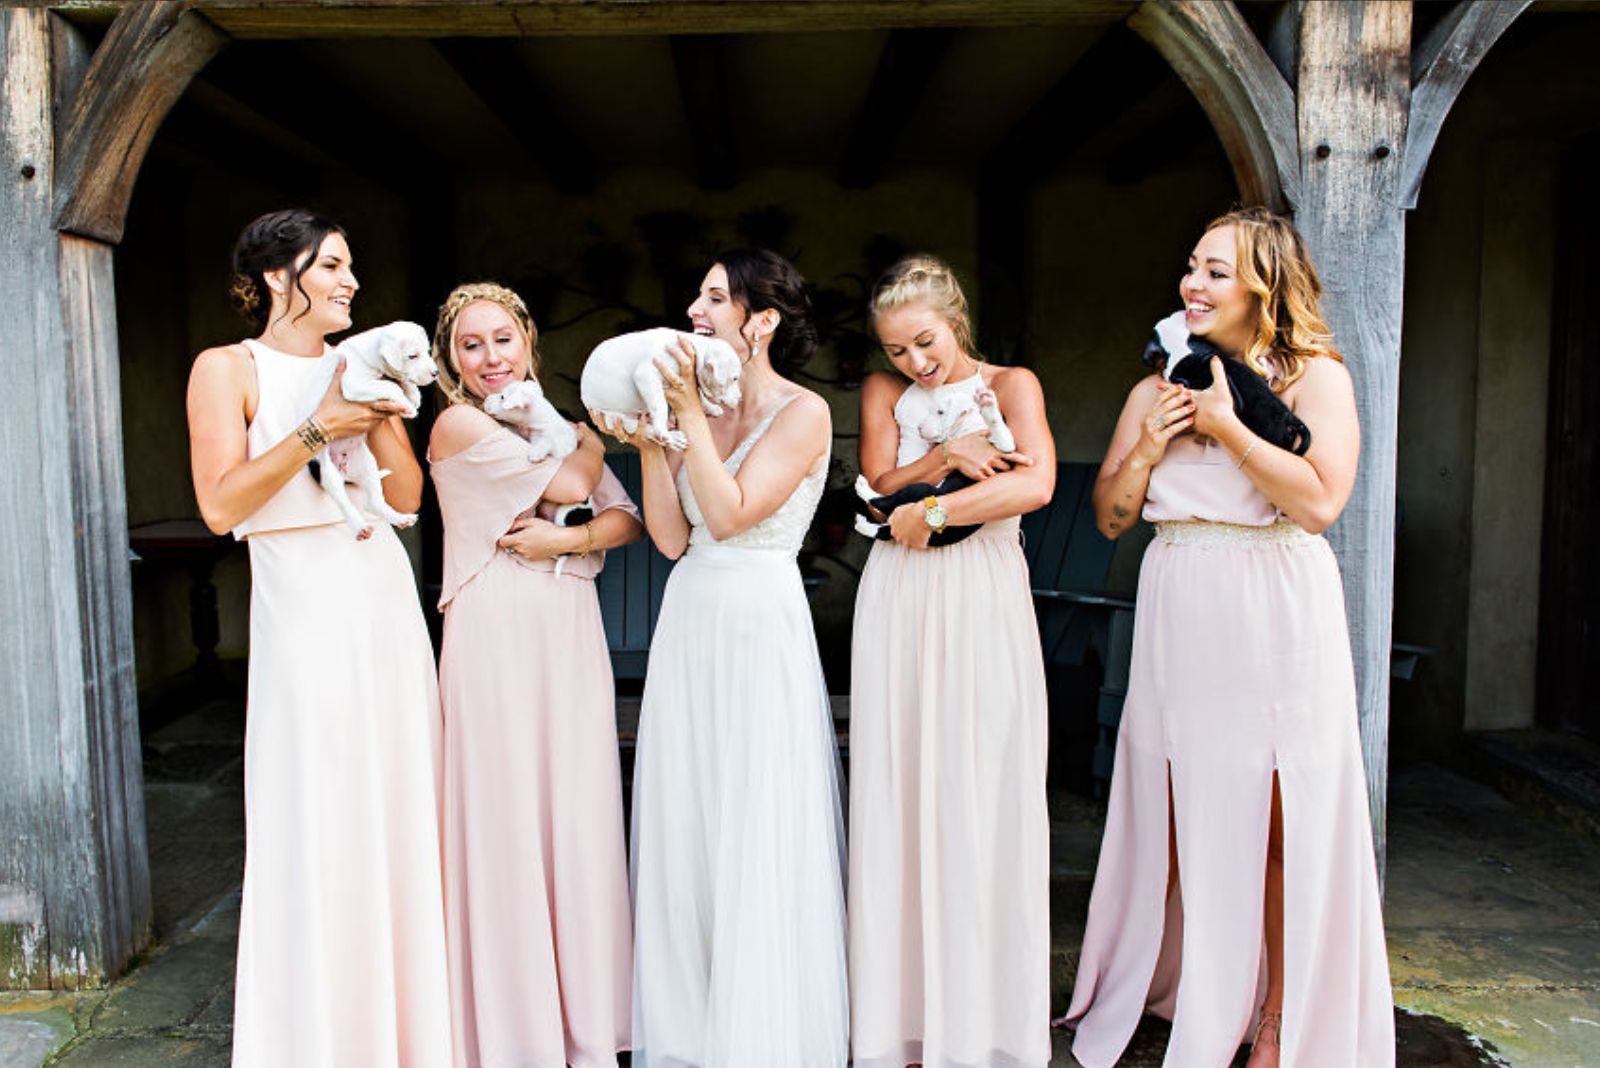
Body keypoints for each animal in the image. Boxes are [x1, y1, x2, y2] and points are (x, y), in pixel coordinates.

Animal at [297, 314, 438, 534]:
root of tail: (346, 471)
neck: (371, 353)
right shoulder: (354, 384)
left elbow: (401, 381)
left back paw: (400, 519)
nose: (435, 373)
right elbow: (390, 385)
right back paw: (360, 528)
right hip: (329, 474)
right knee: (345, 503)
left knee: (372, 503)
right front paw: (407, 406)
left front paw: (414, 396)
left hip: (368, 465)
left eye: (427, 352)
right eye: (412, 356)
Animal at [582, 330, 742, 454]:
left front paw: (711, 407)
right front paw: (663, 431)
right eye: (735, 378)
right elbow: (660, 406)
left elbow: (699, 394)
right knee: (638, 428)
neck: (695, 348)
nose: (740, 398)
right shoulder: (646, 375)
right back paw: (670, 437)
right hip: (613, 416)